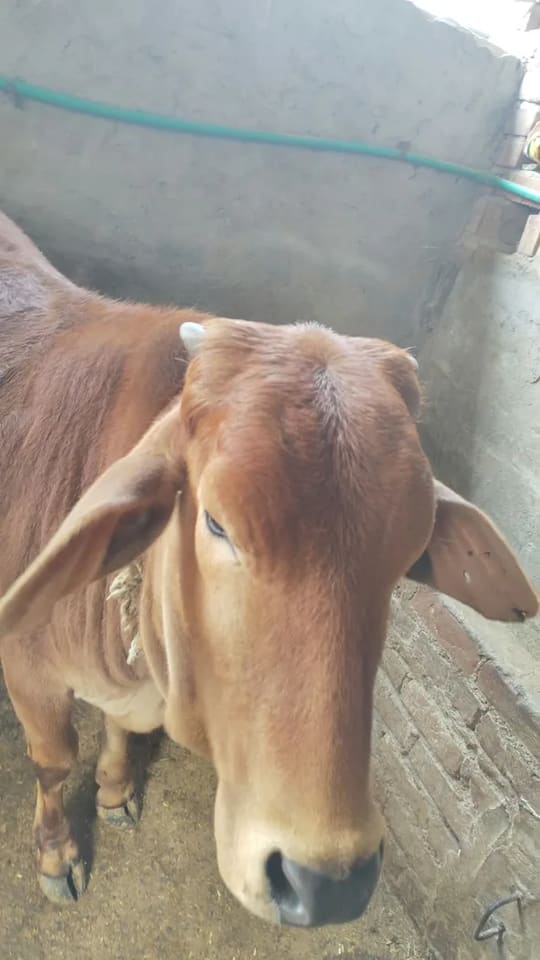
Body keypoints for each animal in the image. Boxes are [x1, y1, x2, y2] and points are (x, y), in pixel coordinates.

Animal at [0, 209, 537, 927]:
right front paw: (58, 855)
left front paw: (114, 793)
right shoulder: (26, 668)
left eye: (410, 551)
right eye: (216, 523)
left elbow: (117, 730)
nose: (325, 882)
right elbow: (55, 761)